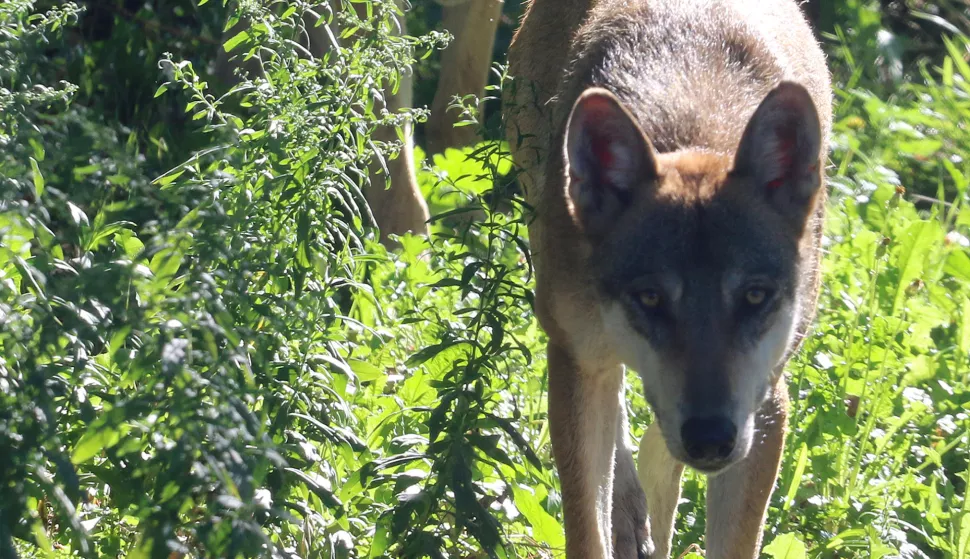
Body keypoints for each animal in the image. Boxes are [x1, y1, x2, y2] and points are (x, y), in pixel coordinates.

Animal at [502, 0, 828, 556]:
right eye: (650, 298)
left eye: (754, 296)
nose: (710, 437)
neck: (692, 130)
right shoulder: (575, 356)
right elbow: (586, 529)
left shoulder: (766, 406)